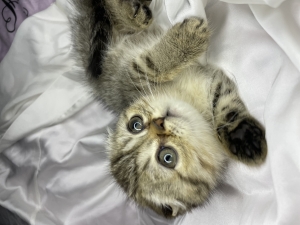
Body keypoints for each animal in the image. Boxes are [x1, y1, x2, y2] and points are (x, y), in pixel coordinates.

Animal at [69, 0, 268, 219]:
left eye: (135, 124)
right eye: (167, 158)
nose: (159, 123)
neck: (187, 101)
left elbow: (227, 110)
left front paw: (243, 137)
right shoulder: (128, 76)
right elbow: (148, 64)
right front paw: (188, 39)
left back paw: (136, 11)